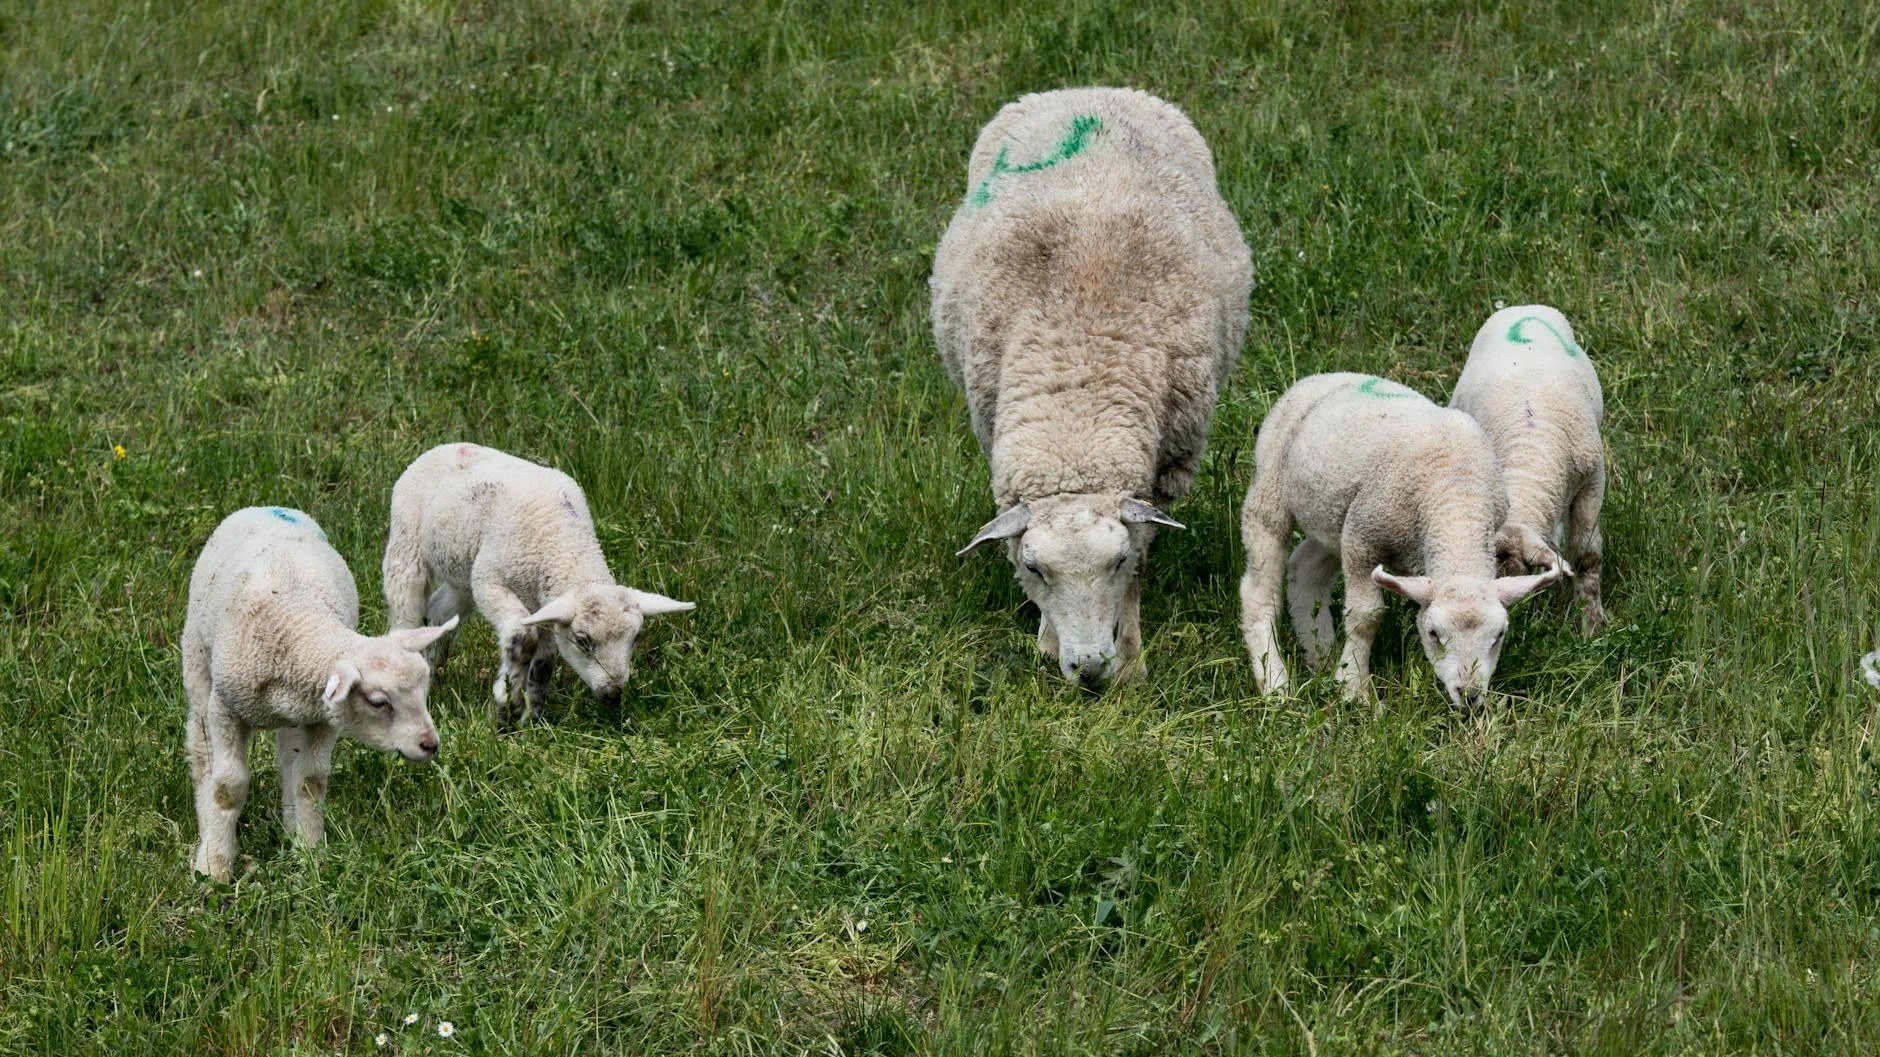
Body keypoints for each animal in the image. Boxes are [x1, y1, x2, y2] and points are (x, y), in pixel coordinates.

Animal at [183, 506, 457, 882]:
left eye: (423, 687)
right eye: (378, 702)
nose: (430, 745)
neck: (299, 629)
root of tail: (266, 506)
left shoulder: (324, 718)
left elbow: (310, 782)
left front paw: (311, 854)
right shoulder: (226, 709)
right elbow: (228, 788)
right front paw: (214, 868)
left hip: (295, 715)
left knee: (288, 757)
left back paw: (289, 826)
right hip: (197, 660)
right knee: (201, 749)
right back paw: (204, 819)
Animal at [382, 443, 694, 729]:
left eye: (637, 637)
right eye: (583, 640)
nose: (613, 694)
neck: (561, 540)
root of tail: (448, 446)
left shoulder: (546, 605)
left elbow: (543, 664)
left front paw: (531, 718)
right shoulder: (490, 581)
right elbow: (522, 638)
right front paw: (505, 705)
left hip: (462, 573)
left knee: (439, 609)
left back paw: (432, 667)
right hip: (407, 542)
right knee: (405, 611)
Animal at [930, 86, 1252, 688]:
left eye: (1117, 561)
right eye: (1033, 566)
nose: (1088, 667)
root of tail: (1090, 90)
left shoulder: (1161, 476)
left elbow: (1144, 564)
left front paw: (1129, 661)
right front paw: (1048, 643)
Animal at [1238, 373, 1562, 708]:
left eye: (1499, 635)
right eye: (1433, 633)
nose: (1469, 696)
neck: (1457, 498)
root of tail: (1322, 377)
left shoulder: (1356, 531)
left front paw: (1342, 676)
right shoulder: (1362, 541)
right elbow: (1365, 618)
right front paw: (1354, 689)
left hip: (1336, 516)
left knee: (1305, 570)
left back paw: (1322, 658)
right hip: (1272, 492)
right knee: (1259, 591)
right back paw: (1275, 682)